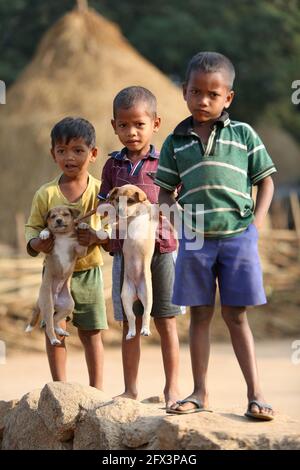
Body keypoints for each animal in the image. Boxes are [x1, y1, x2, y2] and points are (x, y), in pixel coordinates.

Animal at [108, 183, 159, 338]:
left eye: (130, 201)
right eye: (117, 200)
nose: (119, 211)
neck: (136, 214)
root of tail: (136, 291)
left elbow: (154, 210)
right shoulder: (123, 223)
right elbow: (118, 224)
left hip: (148, 295)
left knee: (146, 314)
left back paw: (145, 330)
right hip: (125, 297)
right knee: (132, 317)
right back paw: (131, 332)